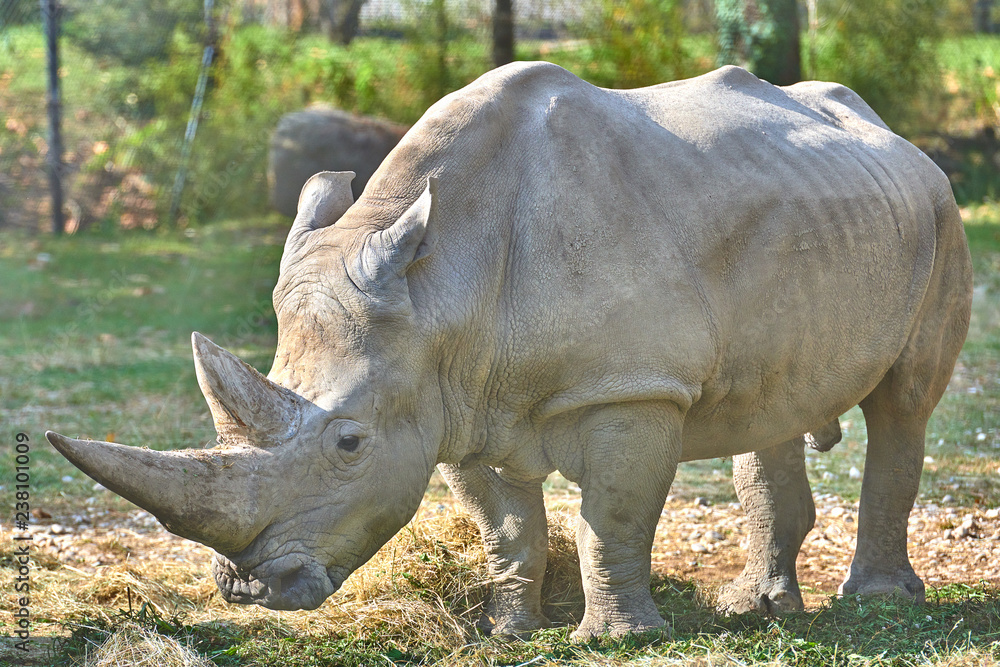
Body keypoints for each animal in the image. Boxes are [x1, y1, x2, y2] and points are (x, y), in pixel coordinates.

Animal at [47, 62, 972, 640]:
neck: (436, 285)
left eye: (348, 443)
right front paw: (509, 628)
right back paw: (760, 610)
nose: (248, 589)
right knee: (769, 407)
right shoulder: (450, 400)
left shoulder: (627, 387)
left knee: (903, 402)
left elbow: (610, 517)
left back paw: (878, 603)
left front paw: (616, 638)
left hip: (941, 210)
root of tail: (895, 134)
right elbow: (506, 528)